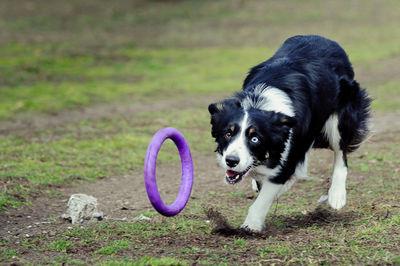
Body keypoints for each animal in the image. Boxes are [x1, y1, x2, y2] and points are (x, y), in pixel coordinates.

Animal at [209, 34, 372, 231]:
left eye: (255, 139)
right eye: (228, 134)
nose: (231, 161)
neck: (259, 104)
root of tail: (322, 37)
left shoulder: (290, 149)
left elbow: (266, 194)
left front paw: (250, 226)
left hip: (340, 118)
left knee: (341, 154)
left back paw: (336, 195)